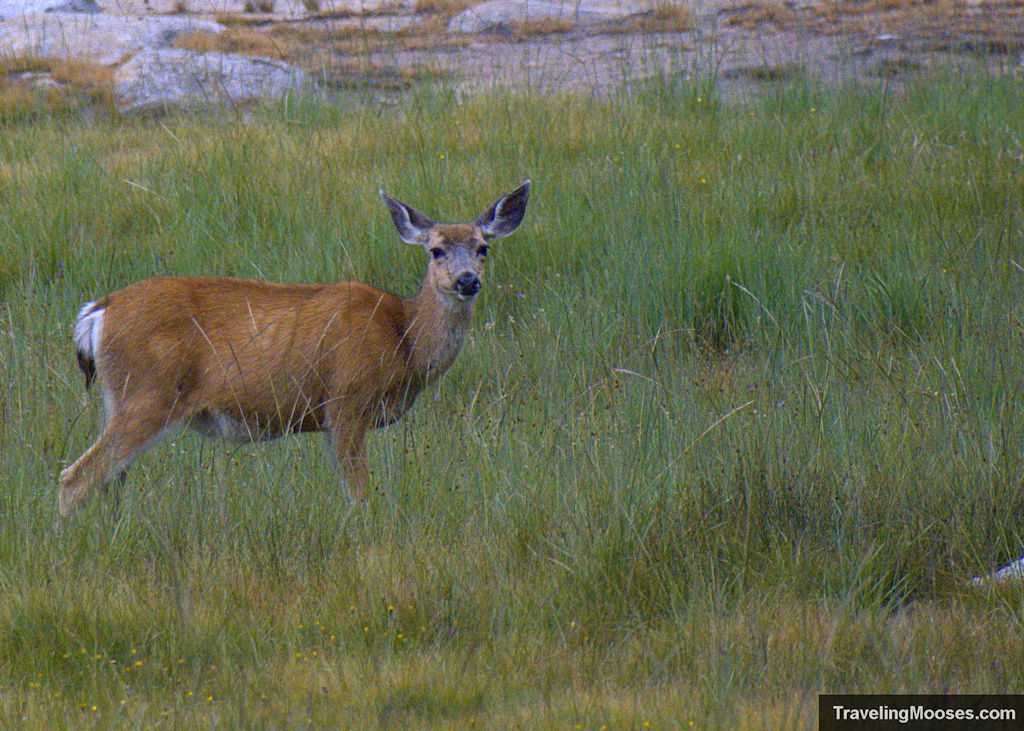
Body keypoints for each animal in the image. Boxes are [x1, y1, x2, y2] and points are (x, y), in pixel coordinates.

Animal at [57, 179, 532, 516]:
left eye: (483, 248)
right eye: (435, 250)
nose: (467, 280)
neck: (404, 337)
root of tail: (96, 312)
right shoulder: (346, 401)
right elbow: (359, 495)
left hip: (121, 398)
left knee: (107, 479)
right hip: (147, 393)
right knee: (75, 478)